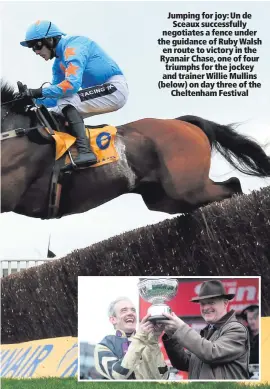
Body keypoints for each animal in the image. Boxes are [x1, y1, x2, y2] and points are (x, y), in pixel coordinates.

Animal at [0, 81, 270, 218]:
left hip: (187, 186)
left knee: (233, 186)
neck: (14, 131)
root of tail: (182, 122)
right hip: (165, 197)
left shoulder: (8, 194)